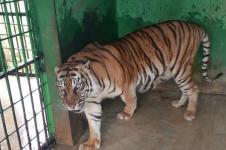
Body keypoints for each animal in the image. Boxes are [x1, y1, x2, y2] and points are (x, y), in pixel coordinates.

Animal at [55, 20, 222, 150]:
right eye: (62, 89)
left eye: (77, 87)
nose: (70, 106)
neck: (93, 89)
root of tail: (194, 25)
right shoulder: (90, 101)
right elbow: (93, 122)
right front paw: (92, 143)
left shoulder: (127, 83)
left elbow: (130, 100)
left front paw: (126, 114)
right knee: (186, 89)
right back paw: (179, 103)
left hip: (180, 68)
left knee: (193, 89)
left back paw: (190, 113)